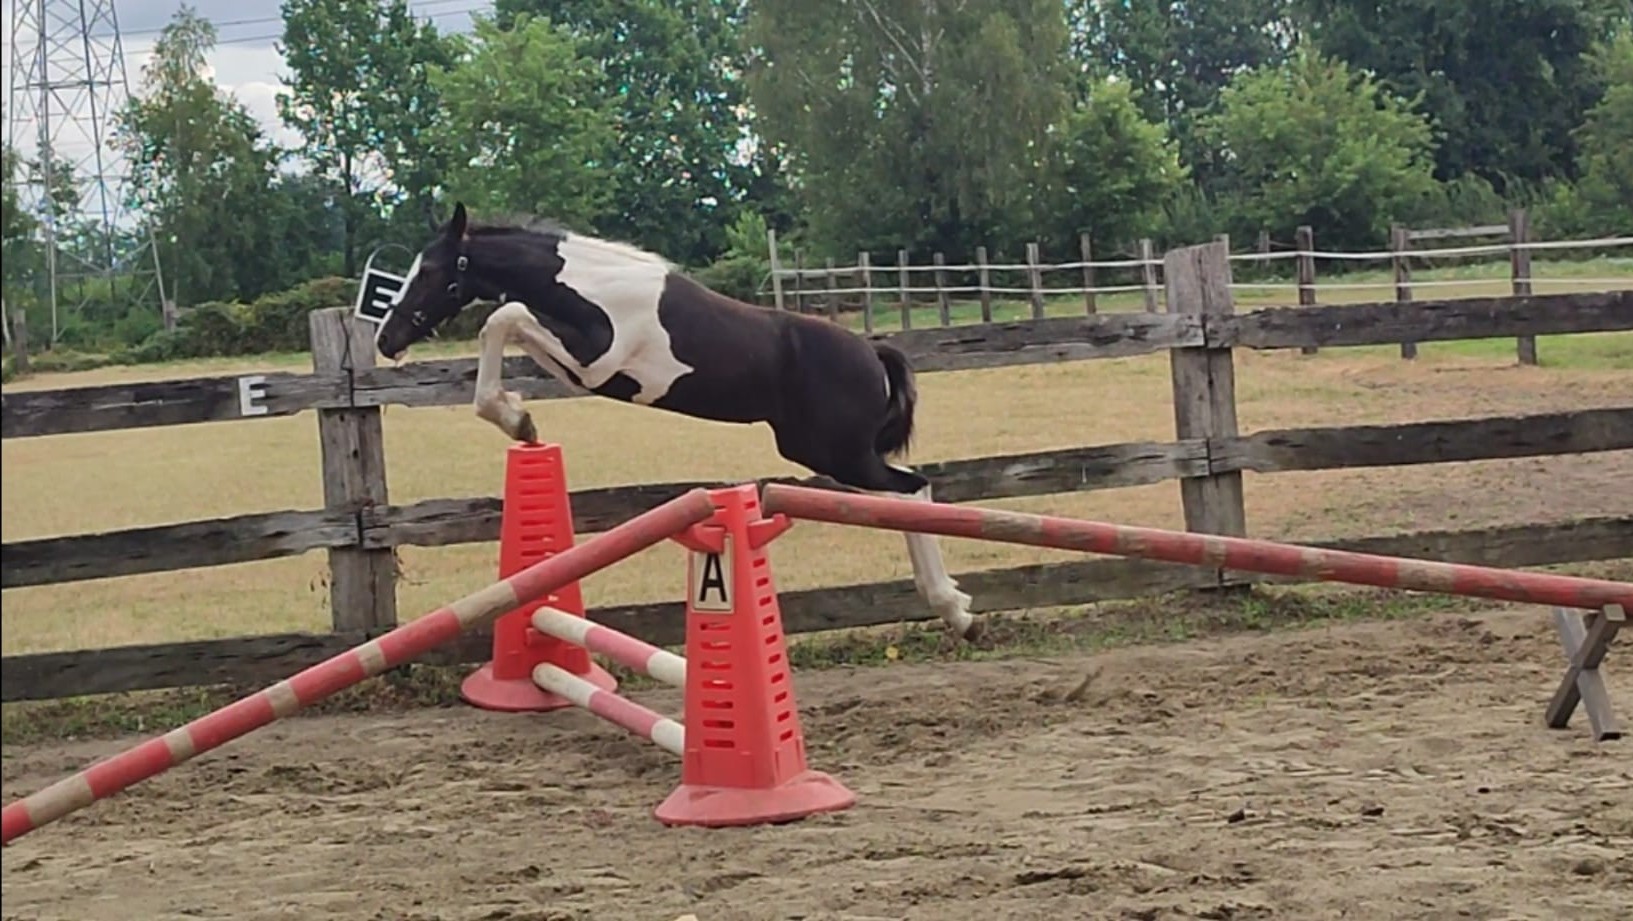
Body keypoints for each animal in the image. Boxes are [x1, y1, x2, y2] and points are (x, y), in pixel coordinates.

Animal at [373, 202, 982, 641]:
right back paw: (954, 608)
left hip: (837, 453)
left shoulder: (597, 362)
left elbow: (506, 315)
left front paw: (514, 418)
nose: (386, 339)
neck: (594, 288)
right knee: (900, 495)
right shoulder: (584, 370)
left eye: (430, 271)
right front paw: (516, 414)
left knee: (911, 489)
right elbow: (510, 325)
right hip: (828, 452)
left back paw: (955, 610)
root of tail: (870, 352)